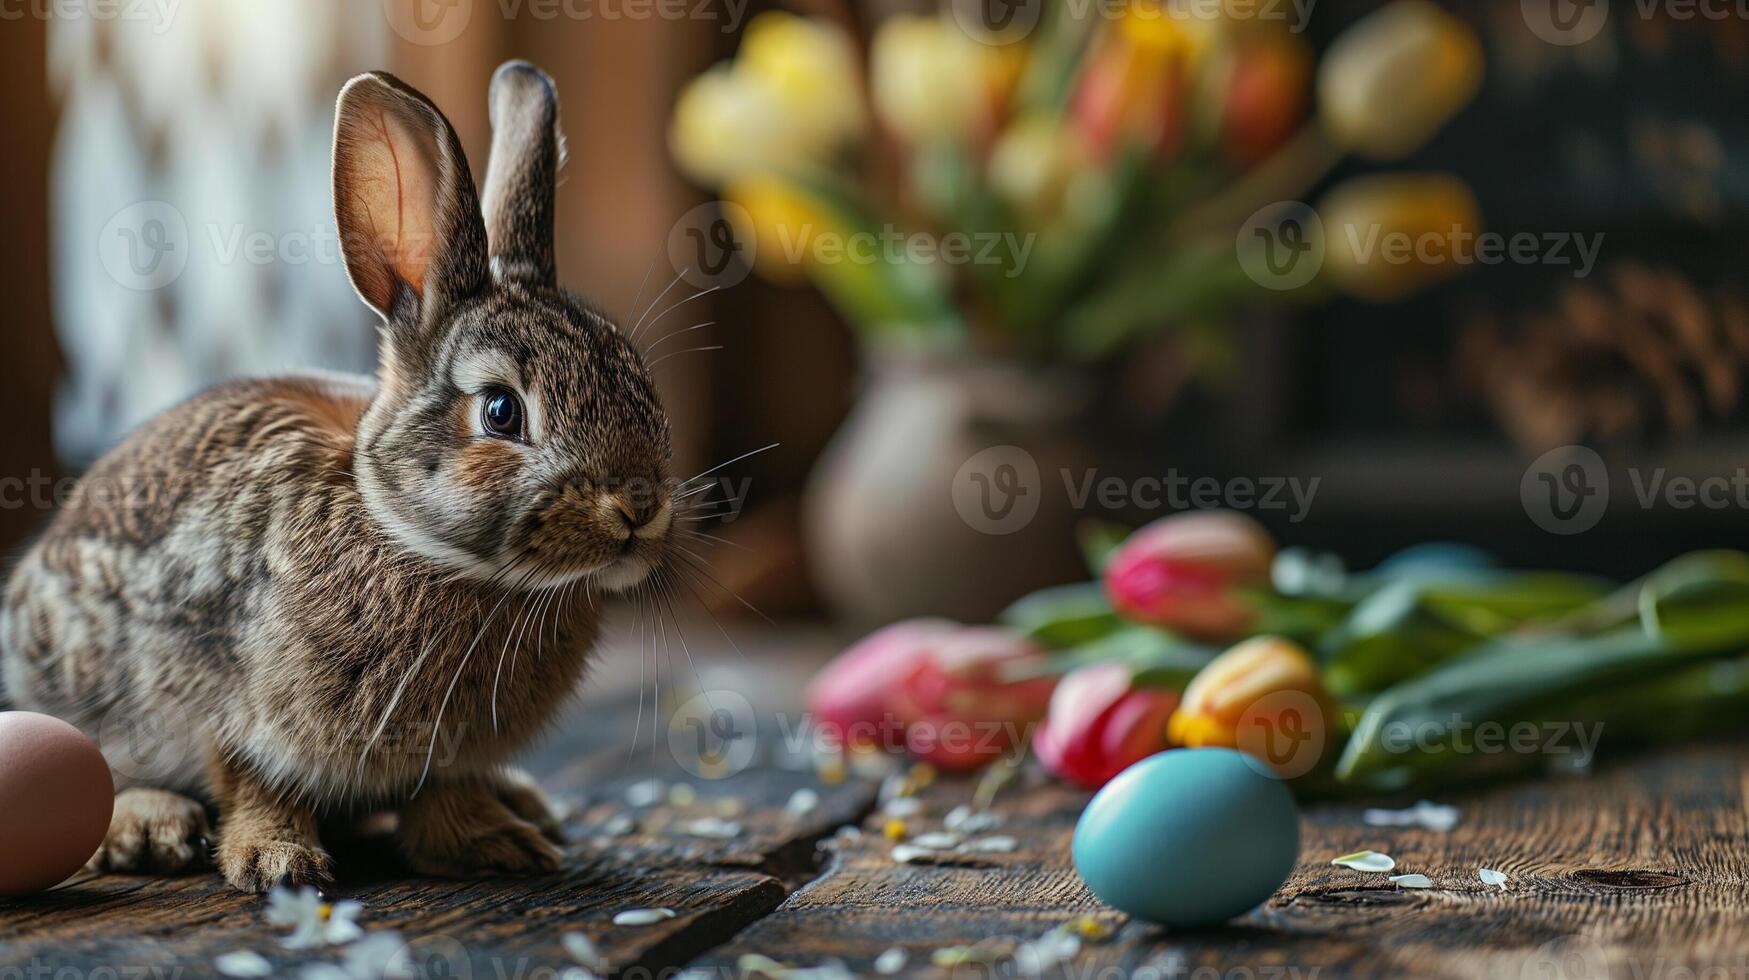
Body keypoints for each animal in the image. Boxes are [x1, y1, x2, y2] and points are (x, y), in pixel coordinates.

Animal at [0, 59, 671, 889]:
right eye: (501, 412)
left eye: (637, 377)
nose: (640, 506)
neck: (406, 533)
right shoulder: (238, 707)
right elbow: (254, 782)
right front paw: (279, 863)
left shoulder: (445, 760)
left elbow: (446, 796)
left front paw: (497, 844)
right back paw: (148, 827)